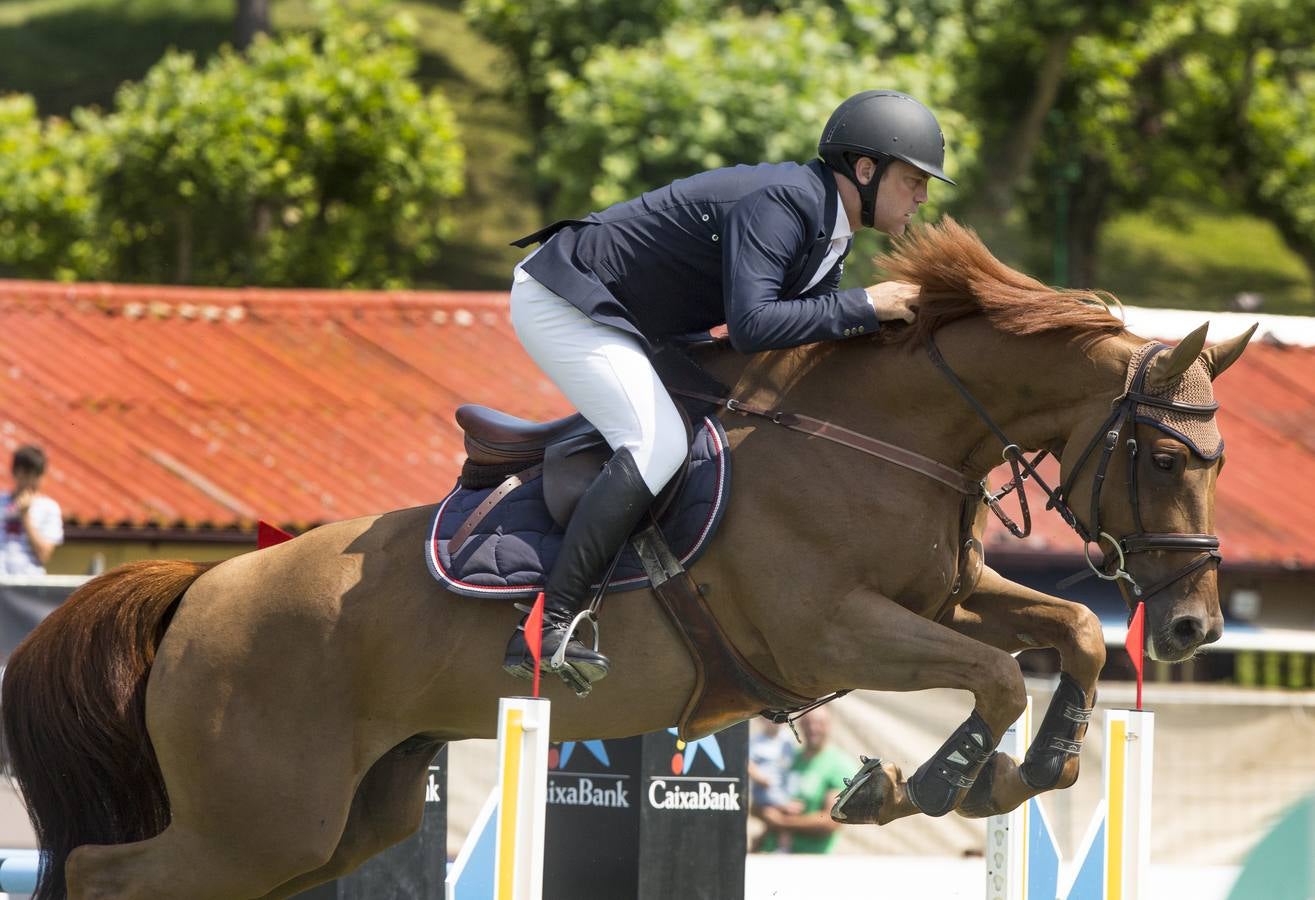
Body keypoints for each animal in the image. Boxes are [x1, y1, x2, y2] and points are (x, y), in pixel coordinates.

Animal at [2, 219, 1251, 900]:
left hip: (344, 819)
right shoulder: (826, 635)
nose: (1194, 627)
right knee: (110, 874)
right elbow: (994, 675)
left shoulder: (944, 598)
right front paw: (927, 782)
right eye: (1159, 453)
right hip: (263, 814)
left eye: (1218, 457)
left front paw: (1028, 769)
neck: (881, 434)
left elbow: (1068, 633)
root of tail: (199, 589)